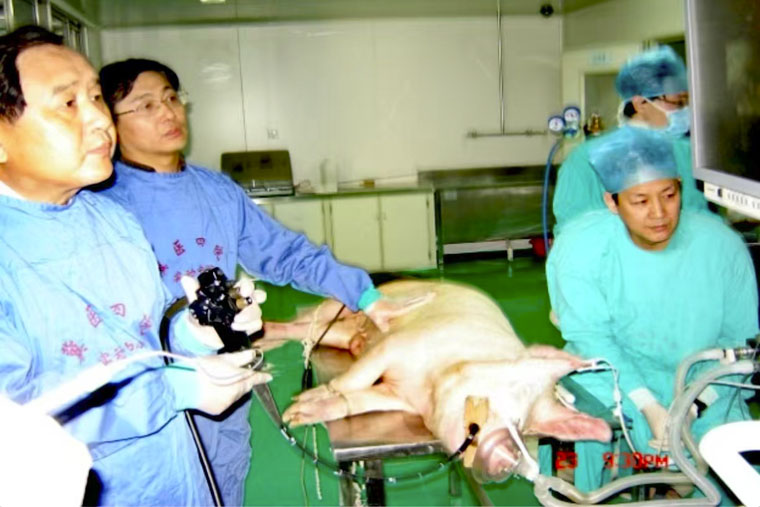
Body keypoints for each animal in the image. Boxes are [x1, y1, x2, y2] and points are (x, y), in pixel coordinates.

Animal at [269, 280, 611, 482]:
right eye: (514, 387)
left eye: (524, 425)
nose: (505, 455)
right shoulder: (396, 346)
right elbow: (354, 379)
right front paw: (296, 409)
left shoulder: (399, 396)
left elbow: (359, 400)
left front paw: (300, 411)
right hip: (344, 304)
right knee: (310, 318)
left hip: (340, 333)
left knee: (312, 332)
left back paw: (273, 338)